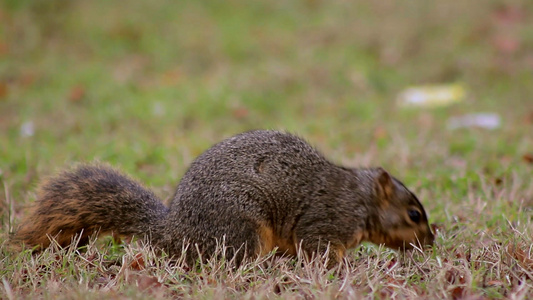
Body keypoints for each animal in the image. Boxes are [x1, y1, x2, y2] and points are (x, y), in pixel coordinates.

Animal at [11, 130, 432, 266]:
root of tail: (176, 231)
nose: (430, 242)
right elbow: (321, 251)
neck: (360, 201)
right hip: (243, 226)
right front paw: (347, 270)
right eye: (413, 214)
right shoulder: (325, 223)